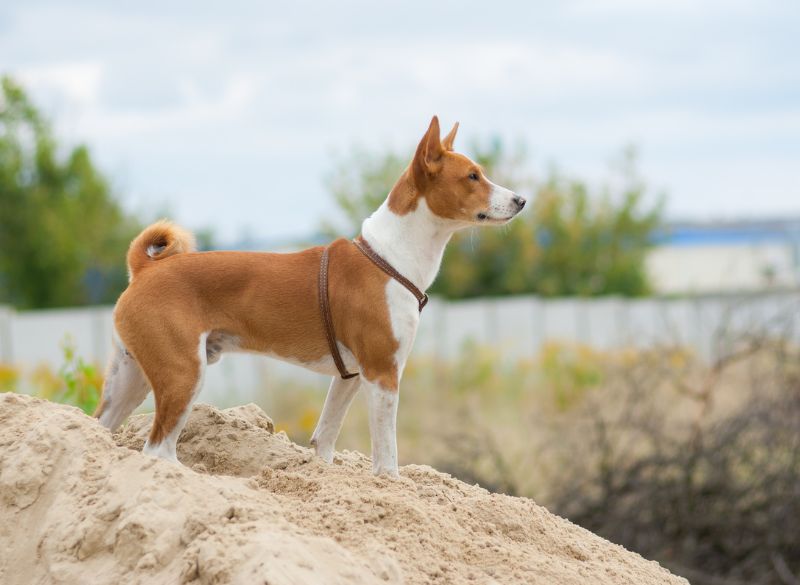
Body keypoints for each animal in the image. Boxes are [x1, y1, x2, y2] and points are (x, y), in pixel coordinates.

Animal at [94, 117, 524, 474]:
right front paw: (391, 484)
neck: (389, 256)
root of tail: (146, 268)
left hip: (130, 381)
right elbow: (387, 455)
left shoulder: (350, 375)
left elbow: (325, 437)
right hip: (183, 373)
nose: (521, 200)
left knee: (100, 429)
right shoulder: (382, 373)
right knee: (157, 450)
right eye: (473, 176)